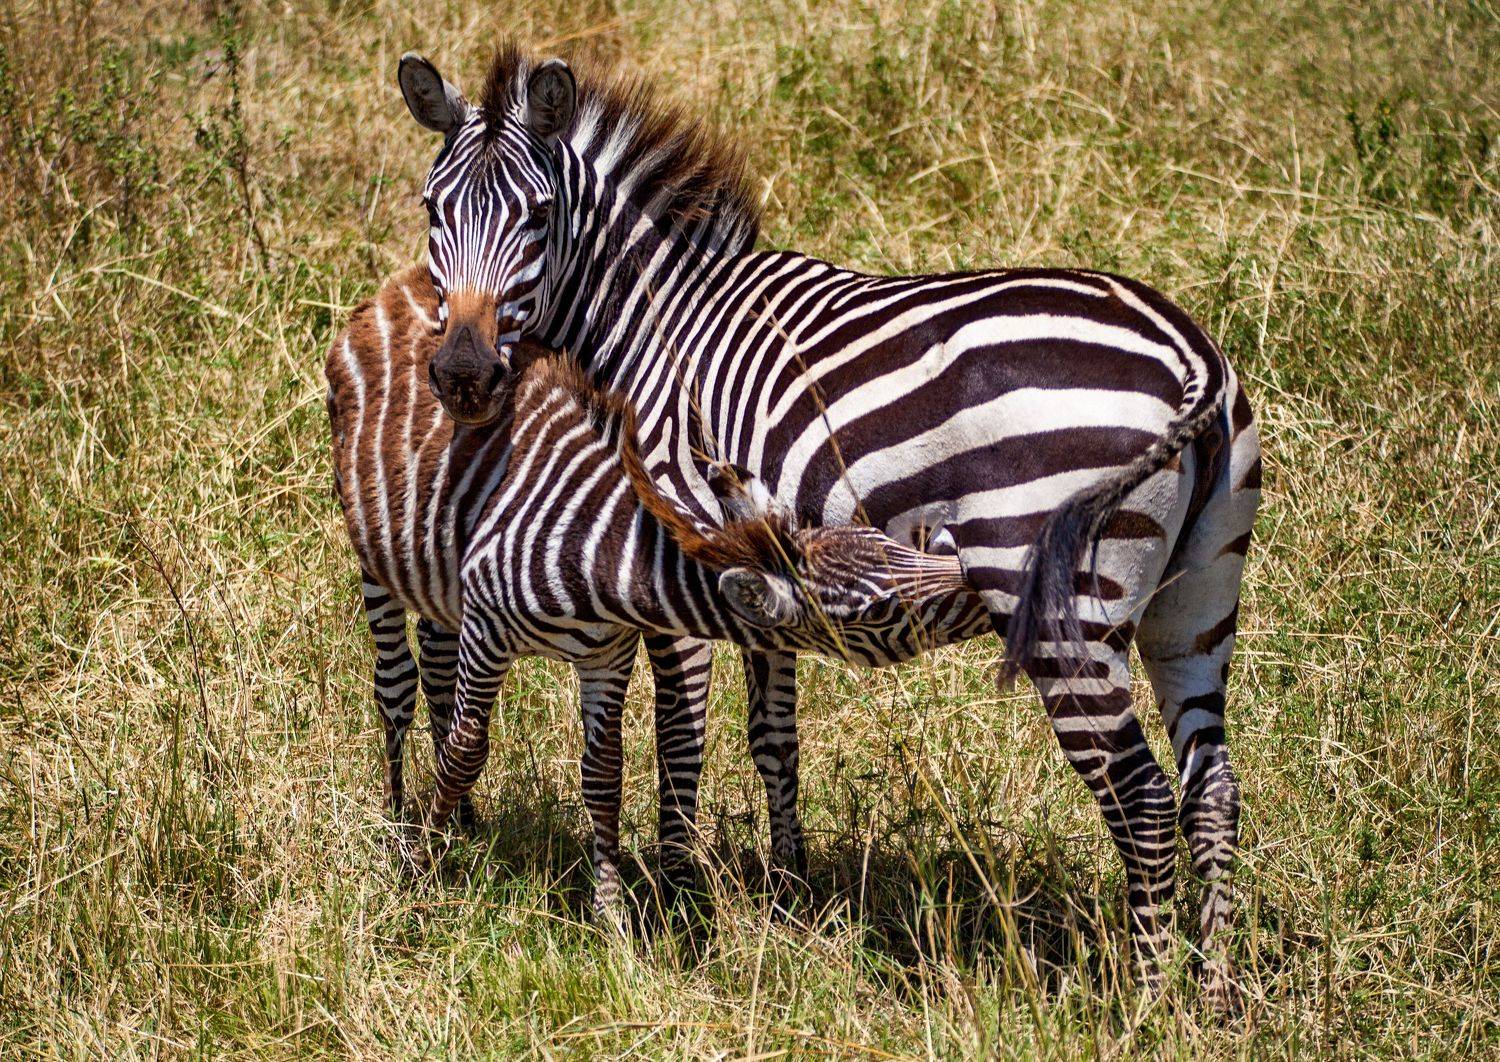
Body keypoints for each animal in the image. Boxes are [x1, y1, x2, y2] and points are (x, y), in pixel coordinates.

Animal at [325, 266, 985, 921]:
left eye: (881, 540)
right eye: (878, 611)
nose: (969, 571)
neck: (604, 555)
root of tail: (407, 280)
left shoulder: (606, 653)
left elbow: (604, 774)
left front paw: (610, 914)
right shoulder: (488, 627)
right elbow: (466, 753)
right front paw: (424, 866)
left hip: (438, 580)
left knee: (436, 669)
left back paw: (461, 821)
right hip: (373, 561)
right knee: (396, 690)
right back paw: (400, 820)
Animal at [395, 44, 1261, 1003]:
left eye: (539, 217)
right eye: (433, 211)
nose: (464, 375)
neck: (657, 327)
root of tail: (1192, 355)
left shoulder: (675, 535)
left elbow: (679, 731)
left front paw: (678, 898)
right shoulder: (752, 564)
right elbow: (772, 736)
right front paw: (788, 897)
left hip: (1061, 592)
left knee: (1139, 794)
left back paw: (1146, 999)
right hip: (1196, 602)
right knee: (1210, 789)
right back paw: (1215, 994)